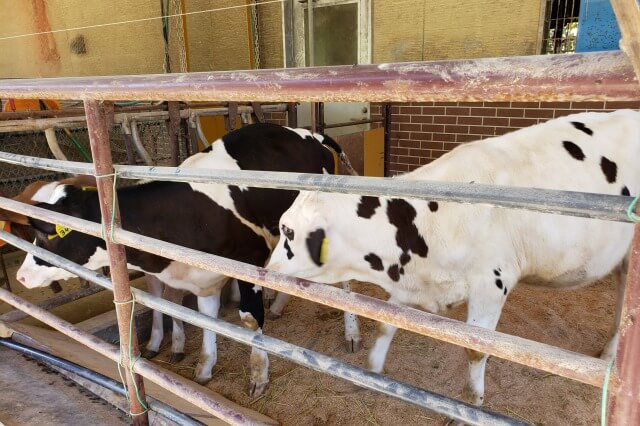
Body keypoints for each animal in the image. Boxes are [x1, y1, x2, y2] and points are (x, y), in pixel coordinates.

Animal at [15, 122, 352, 396]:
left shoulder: (250, 260)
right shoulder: (203, 276)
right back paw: (281, 305)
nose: (21, 276)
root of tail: (308, 134)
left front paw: (258, 376)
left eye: (49, 234)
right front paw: (205, 366)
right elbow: (205, 318)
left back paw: (351, 334)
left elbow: (249, 320)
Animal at [266, 110, 640, 406]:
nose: (266, 270)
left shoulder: (492, 286)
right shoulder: (407, 280)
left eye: (287, 231)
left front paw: (471, 404)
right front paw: (372, 372)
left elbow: (476, 349)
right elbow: (387, 322)